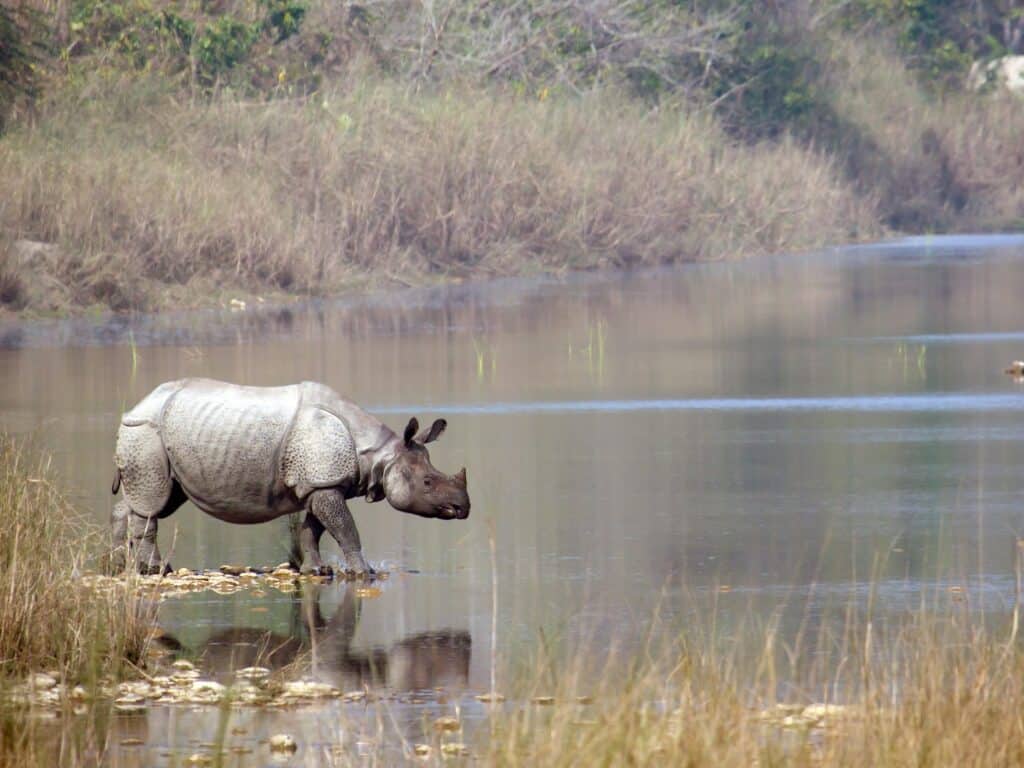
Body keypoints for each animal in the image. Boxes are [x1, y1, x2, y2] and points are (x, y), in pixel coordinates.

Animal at [111, 378, 470, 575]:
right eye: (427, 483)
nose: (463, 508)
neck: (380, 454)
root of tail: (136, 406)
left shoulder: (319, 484)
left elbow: (313, 530)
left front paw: (318, 570)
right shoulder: (324, 482)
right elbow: (346, 529)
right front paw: (363, 572)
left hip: (162, 436)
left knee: (156, 498)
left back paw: (120, 564)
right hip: (146, 431)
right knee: (152, 503)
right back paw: (157, 570)